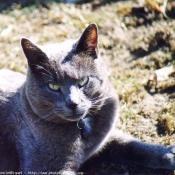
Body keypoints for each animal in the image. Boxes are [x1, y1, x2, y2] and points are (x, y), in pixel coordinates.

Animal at [0, 23, 175, 174]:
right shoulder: (45, 167)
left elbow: (131, 145)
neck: (82, 126)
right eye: (53, 86)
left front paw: (169, 154)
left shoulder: (105, 137)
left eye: (83, 81)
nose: (72, 103)